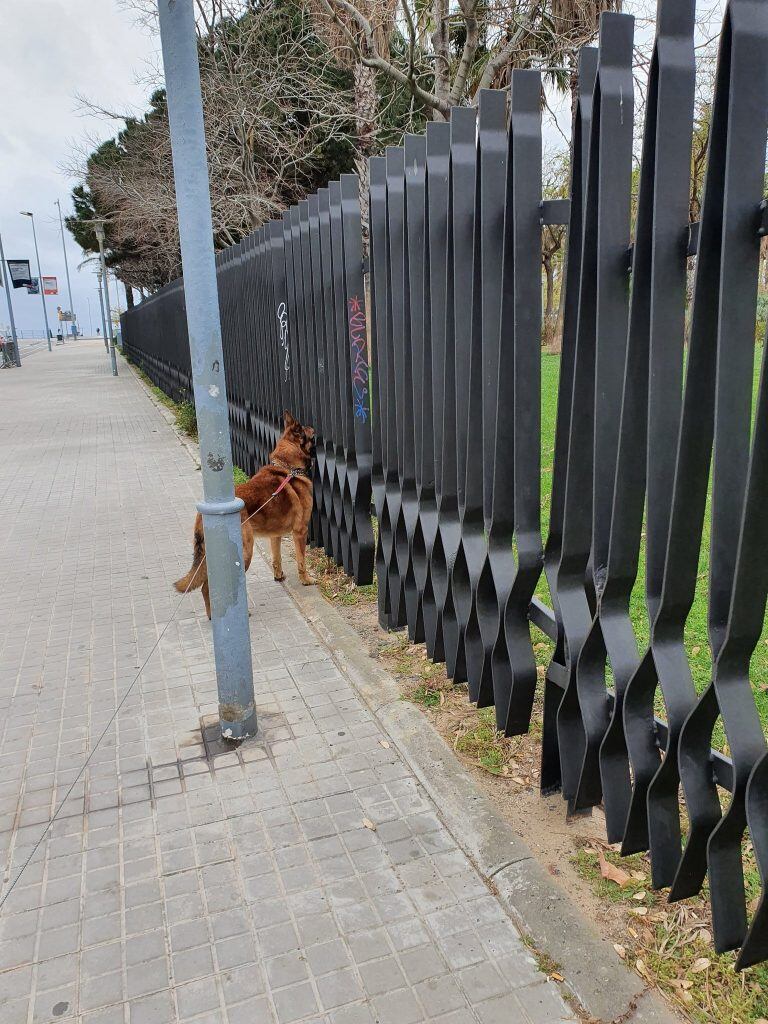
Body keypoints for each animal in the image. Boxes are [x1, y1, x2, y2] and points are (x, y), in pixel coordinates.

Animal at [174, 411, 315, 618]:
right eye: (307, 430)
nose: (314, 427)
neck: (288, 469)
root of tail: (202, 515)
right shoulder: (300, 532)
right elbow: (302, 561)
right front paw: (306, 580)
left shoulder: (275, 536)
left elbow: (277, 560)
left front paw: (279, 576)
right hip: (245, 552)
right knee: (208, 587)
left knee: (206, 587)